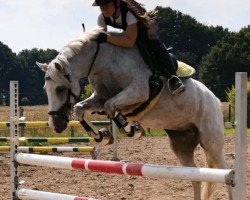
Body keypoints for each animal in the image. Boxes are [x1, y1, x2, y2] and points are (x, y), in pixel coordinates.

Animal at [37, 27, 232, 199]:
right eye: (46, 88)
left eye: (60, 88)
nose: (55, 125)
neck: (103, 61)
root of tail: (215, 100)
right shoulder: (99, 98)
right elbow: (81, 108)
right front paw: (101, 135)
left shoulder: (138, 92)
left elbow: (111, 106)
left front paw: (131, 129)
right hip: (181, 143)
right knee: (195, 177)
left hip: (211, 142)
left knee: (224, 171)